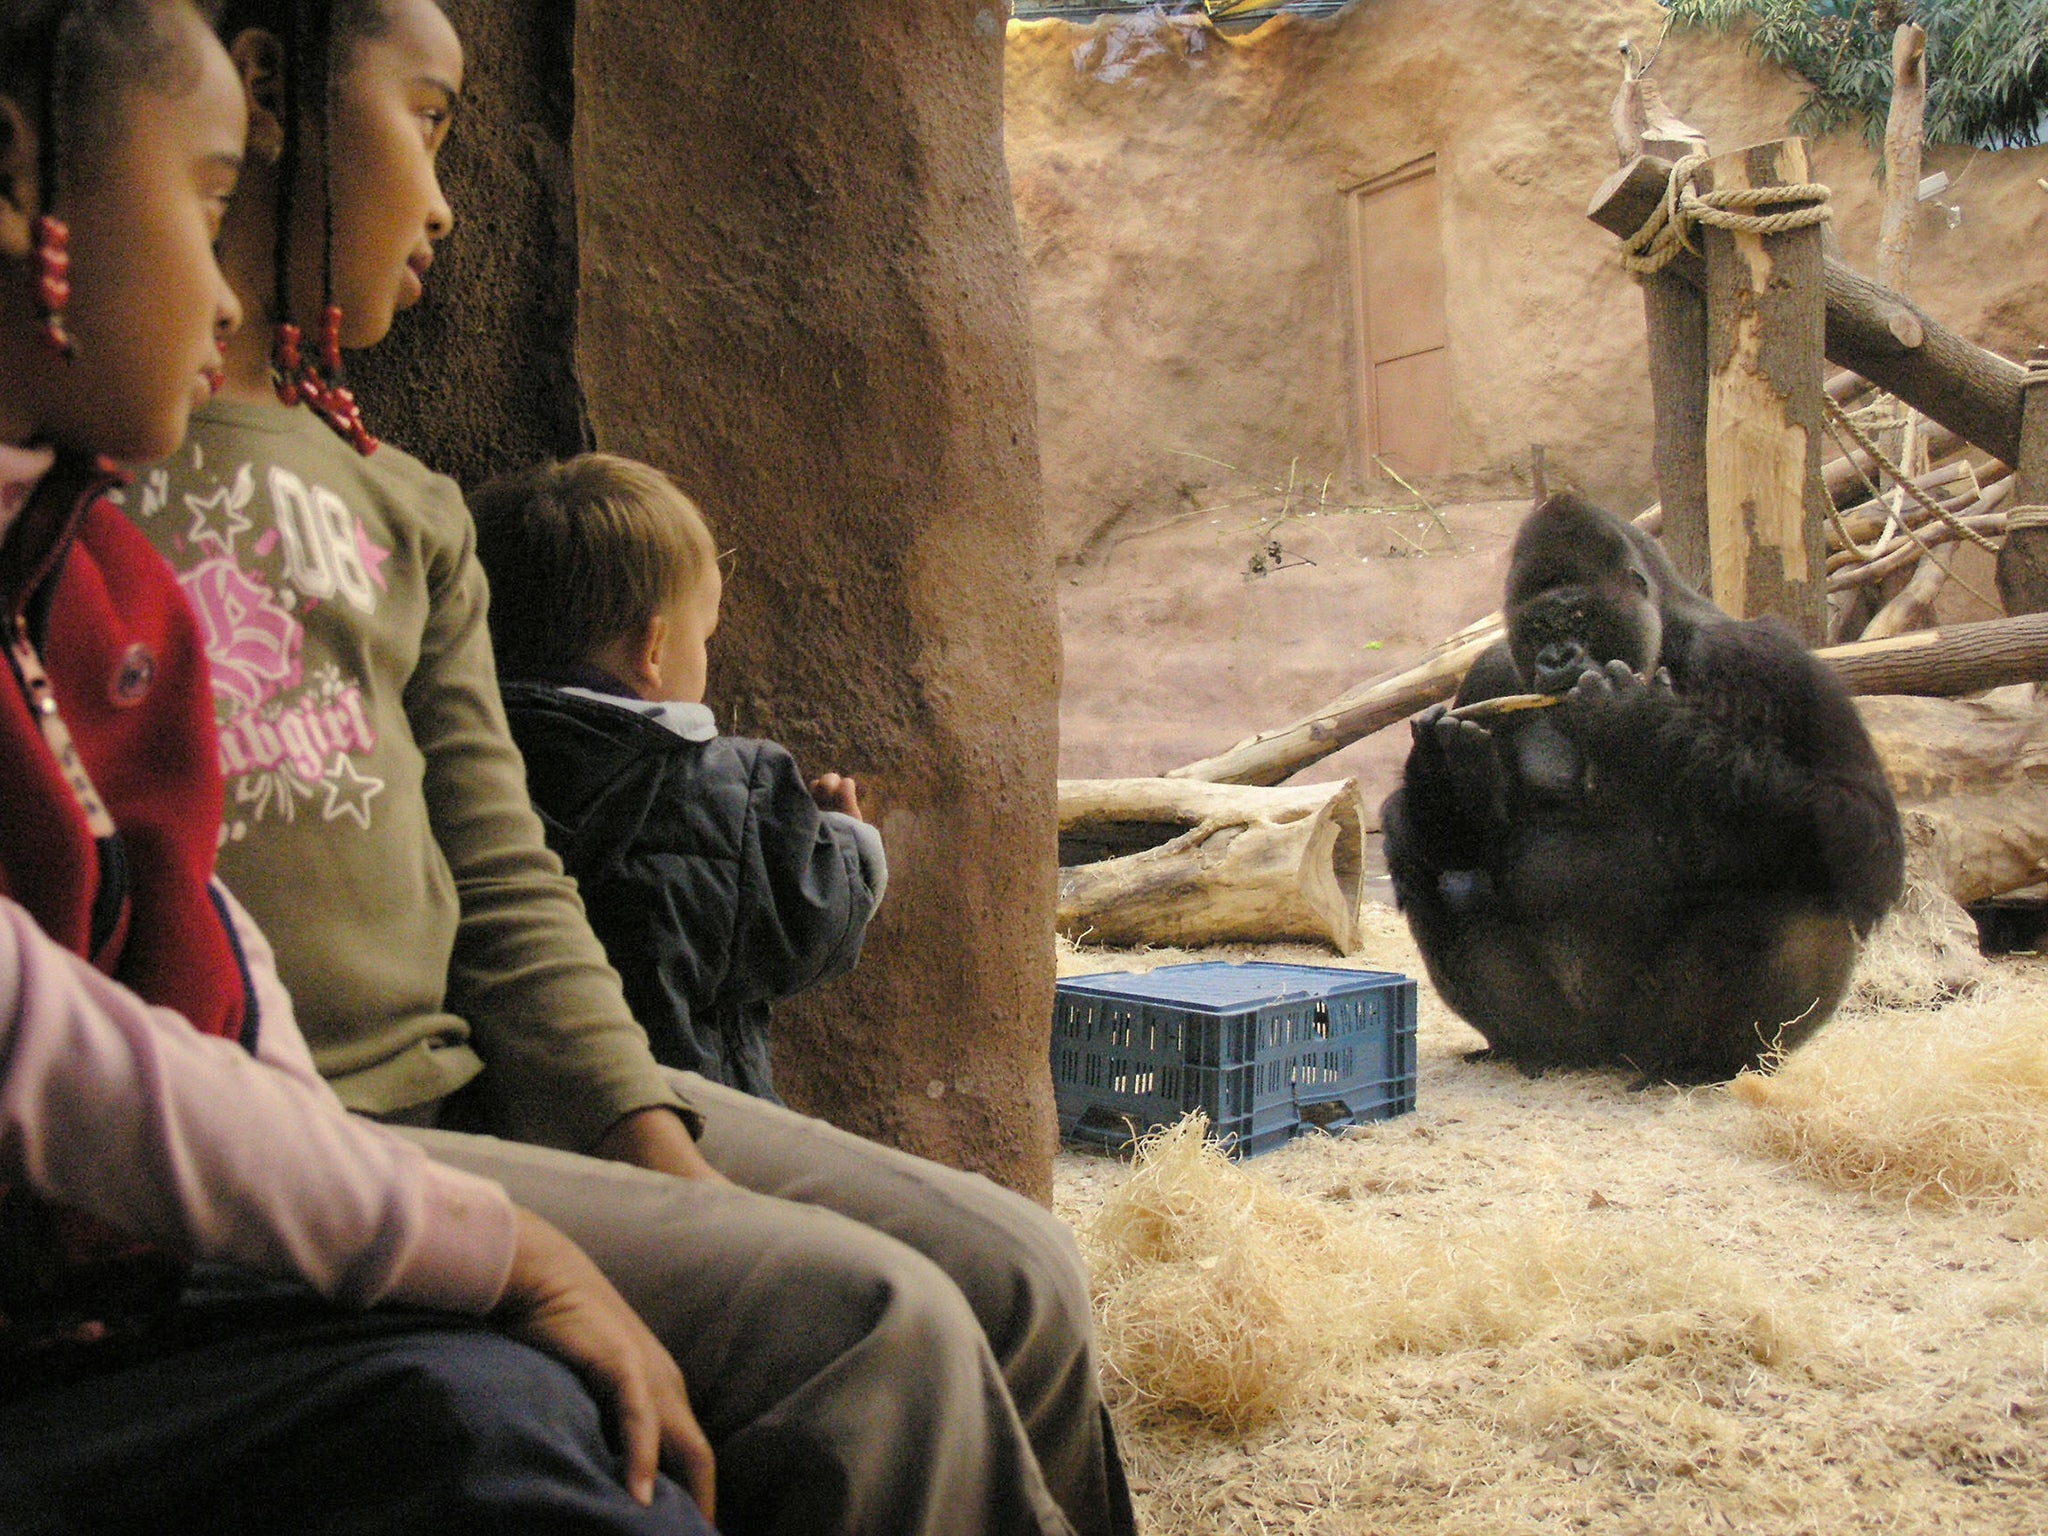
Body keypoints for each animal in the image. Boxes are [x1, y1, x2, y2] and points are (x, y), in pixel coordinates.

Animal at [1384, 493, 1908, 1081]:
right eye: (1539, 626)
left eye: (1581, 616)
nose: (1557, 658)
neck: (1666, 637)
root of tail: (1610, 1056)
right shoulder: (1487, 675)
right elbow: (1456, 844)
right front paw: (1444, 777)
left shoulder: (1767, 656)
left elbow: (1863, 835)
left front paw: (1637, 720)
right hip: (1569, 1035)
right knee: (1423, 859)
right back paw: (1527, 1049)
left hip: (1656, 1033)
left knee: (1801, 882)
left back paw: (1709, 1064)